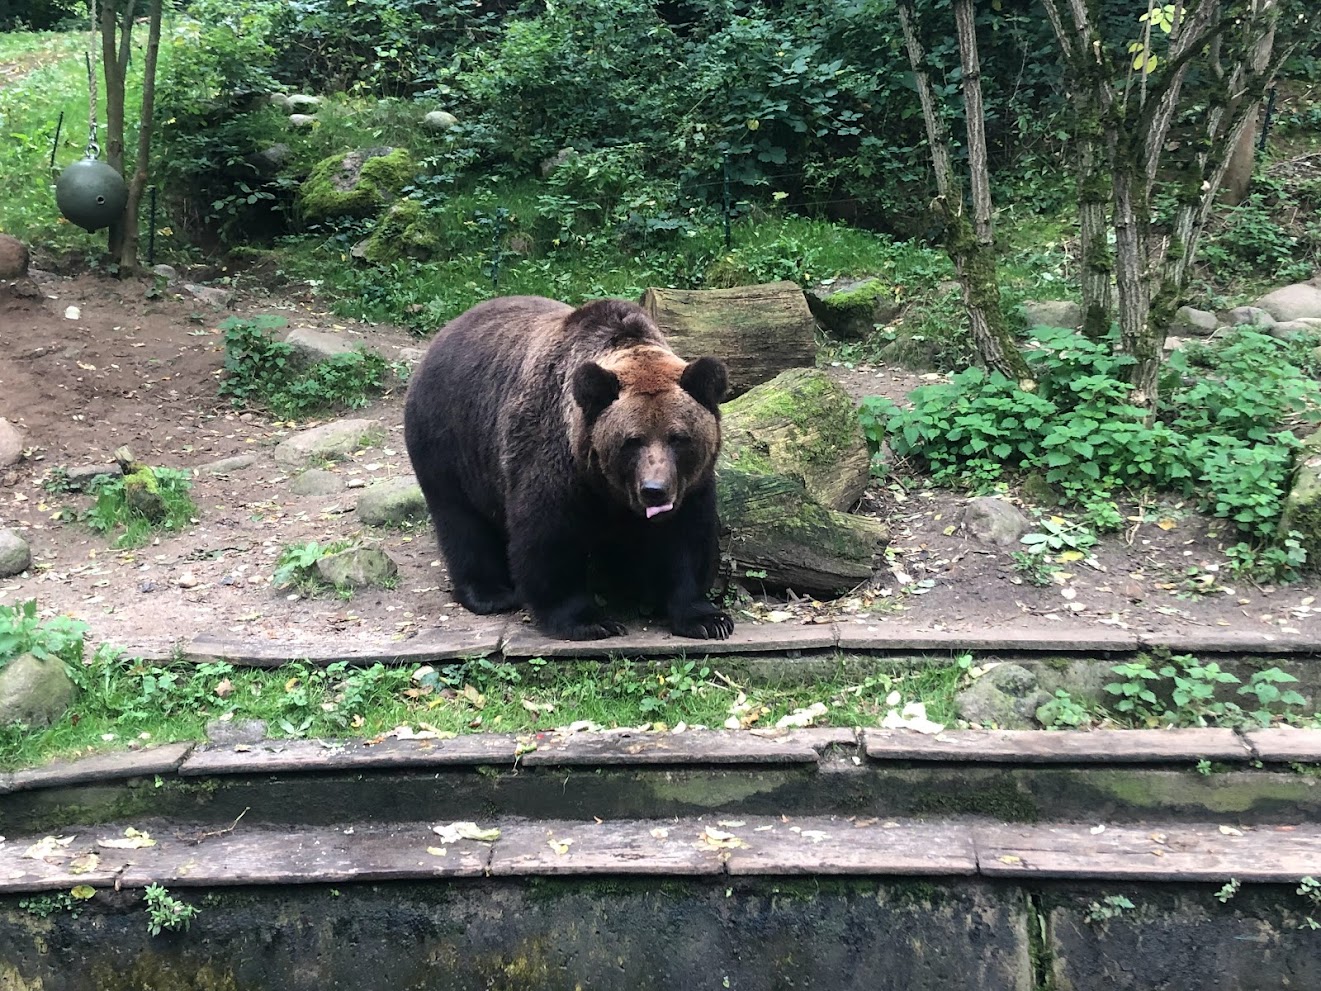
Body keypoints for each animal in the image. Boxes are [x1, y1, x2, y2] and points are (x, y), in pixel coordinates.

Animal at [403, 295, 734, 642]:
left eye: (678, 438)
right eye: (632, 440)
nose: (654, 491)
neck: (605, 486)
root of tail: (447, 330)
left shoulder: (691, 486)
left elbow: (686, 539)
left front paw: (707, 619)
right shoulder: (554, 459)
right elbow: (550, 538)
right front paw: (589, 620)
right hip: (449, 440)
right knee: (460, 519)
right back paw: (491, 593)